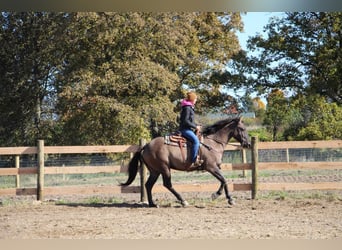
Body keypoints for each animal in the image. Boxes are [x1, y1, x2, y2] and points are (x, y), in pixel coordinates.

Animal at [121, 116, 250, 207]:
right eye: (242, 129)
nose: (248, 144)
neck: (213, 142)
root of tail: (146, 146)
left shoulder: (216, 168)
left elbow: (223, 181)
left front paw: (222, 197)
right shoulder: (211, 167)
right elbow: (224, 180)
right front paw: (225, 198)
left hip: (155, 171)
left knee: (148, 185)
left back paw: (153, 204)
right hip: (164, 168)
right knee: (167, 184)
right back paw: (183, 201)